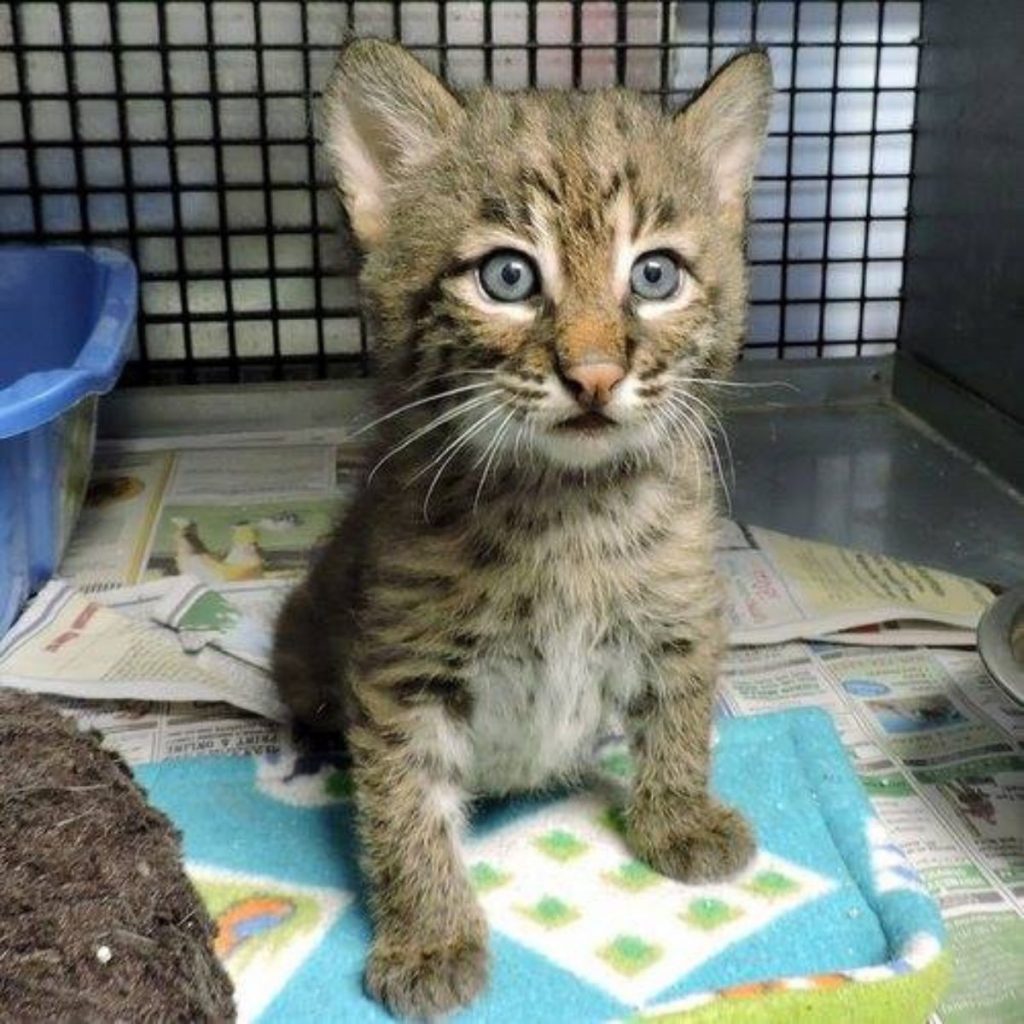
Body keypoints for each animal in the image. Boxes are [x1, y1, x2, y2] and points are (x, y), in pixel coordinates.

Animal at [276, 37, 770, 1015]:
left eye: (654, 275)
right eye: (508, 276)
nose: (594, 375)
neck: (565, 502)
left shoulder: (684, 605)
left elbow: (680, 710)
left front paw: (678, 815)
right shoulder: (402, 667)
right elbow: (406, 804)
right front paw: (430, 937)